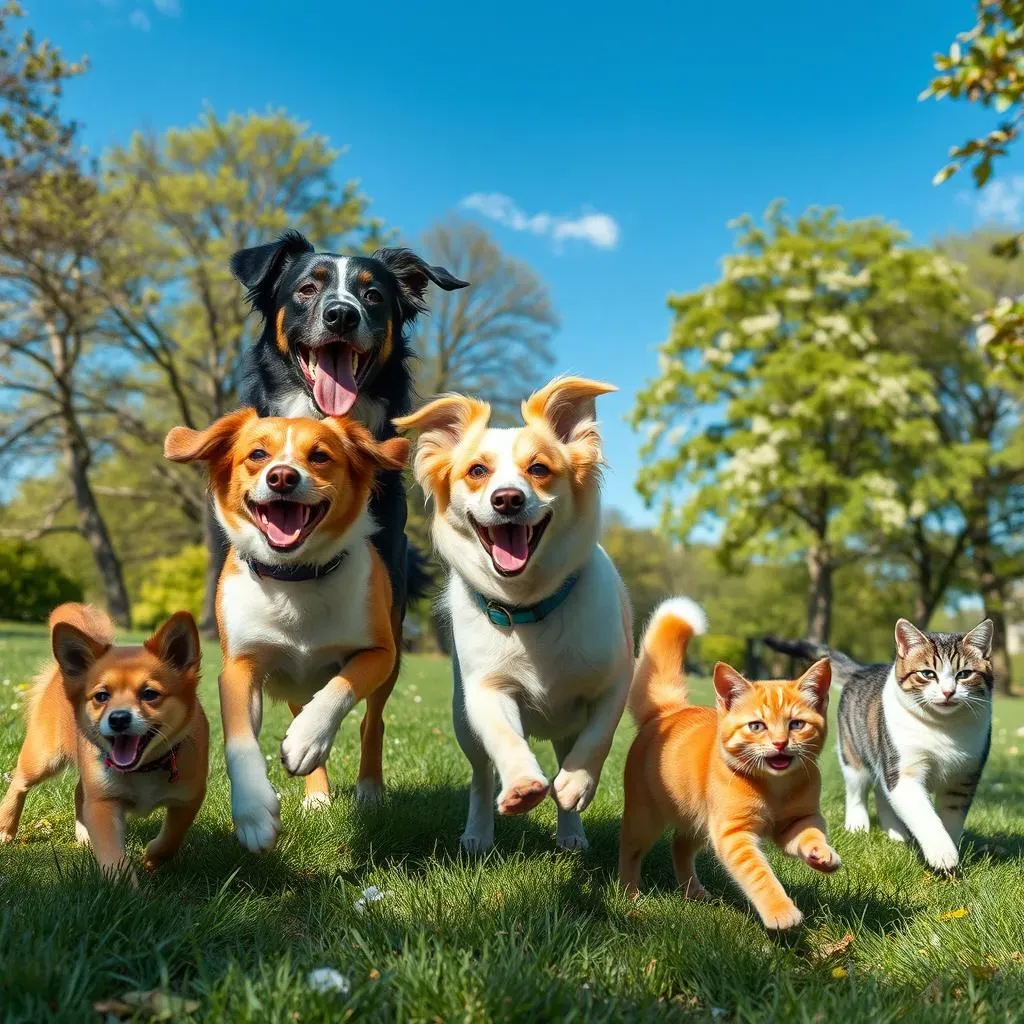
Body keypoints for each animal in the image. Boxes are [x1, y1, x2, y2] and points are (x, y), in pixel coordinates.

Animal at [0, 602, 207, 876]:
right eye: (101, 696)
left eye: (149, 694)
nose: (118, 718)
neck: (142, 770)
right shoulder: (103, 803)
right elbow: (112, 855)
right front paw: (123, 883)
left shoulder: (188, 799)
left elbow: (173, 837)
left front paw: (153, 857)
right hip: (43, 757)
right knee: (19, 783)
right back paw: (6, 827)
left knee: (78, 791)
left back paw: (83, 834)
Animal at [163, 411, 407, 851]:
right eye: (258, 454)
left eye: (320, 456)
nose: (281, 477)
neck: (294, 578)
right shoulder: (239, 667)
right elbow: (240, 739)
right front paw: (253, 812)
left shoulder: (378, 653)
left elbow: (342, 685)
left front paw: (308, 737)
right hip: (295, 686)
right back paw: (317, 797)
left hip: (388, 668)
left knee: (371, 723)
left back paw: (368, 788)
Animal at [397, 376, 630, 847]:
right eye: (477, 471)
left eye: (538, 469)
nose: (507, 498)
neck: (529, 606)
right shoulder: (486, 689)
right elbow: (504, 738)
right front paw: (522, 783)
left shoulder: (617, 680)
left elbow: (599, 736)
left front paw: (577, 783)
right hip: (461, 719)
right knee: (481, 774)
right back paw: (478, 832)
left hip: (566, 724)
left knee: (569, 749)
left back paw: (570, 828)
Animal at [618, 598, 835, 933]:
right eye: (757, 726)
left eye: (797, 724)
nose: (780, 743)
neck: (774, 786)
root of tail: (667, 711)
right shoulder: (733, 834)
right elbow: (760, 876)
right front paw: (780, 911)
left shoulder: (797, 821)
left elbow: (810, 833)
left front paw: (821, 853)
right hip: (645, 816)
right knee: (629, 849)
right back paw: (628, 892)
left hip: (698, 819)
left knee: (679, 845)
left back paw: (693, 892)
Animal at [770, 614, 991, 872]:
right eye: (927, 674)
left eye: (964, 674)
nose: (948, 692)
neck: (943, 729)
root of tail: (862, 668)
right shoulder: (902, 771)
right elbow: (925, 816)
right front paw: (942, 854)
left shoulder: (964, 778)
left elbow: (951, 819)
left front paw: (951, 851)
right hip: (853, 752)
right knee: (857, 790)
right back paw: (858, 826)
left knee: (882, 793)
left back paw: (896, 833)